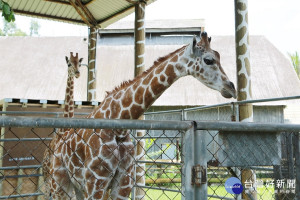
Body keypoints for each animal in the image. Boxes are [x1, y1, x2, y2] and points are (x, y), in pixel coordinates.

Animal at [47, 32, 236, 199]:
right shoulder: (96, 180)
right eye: (209, 60)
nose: (231, 88)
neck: (119, 120)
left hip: (78, 186)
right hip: (59, 184)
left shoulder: (123, 182)